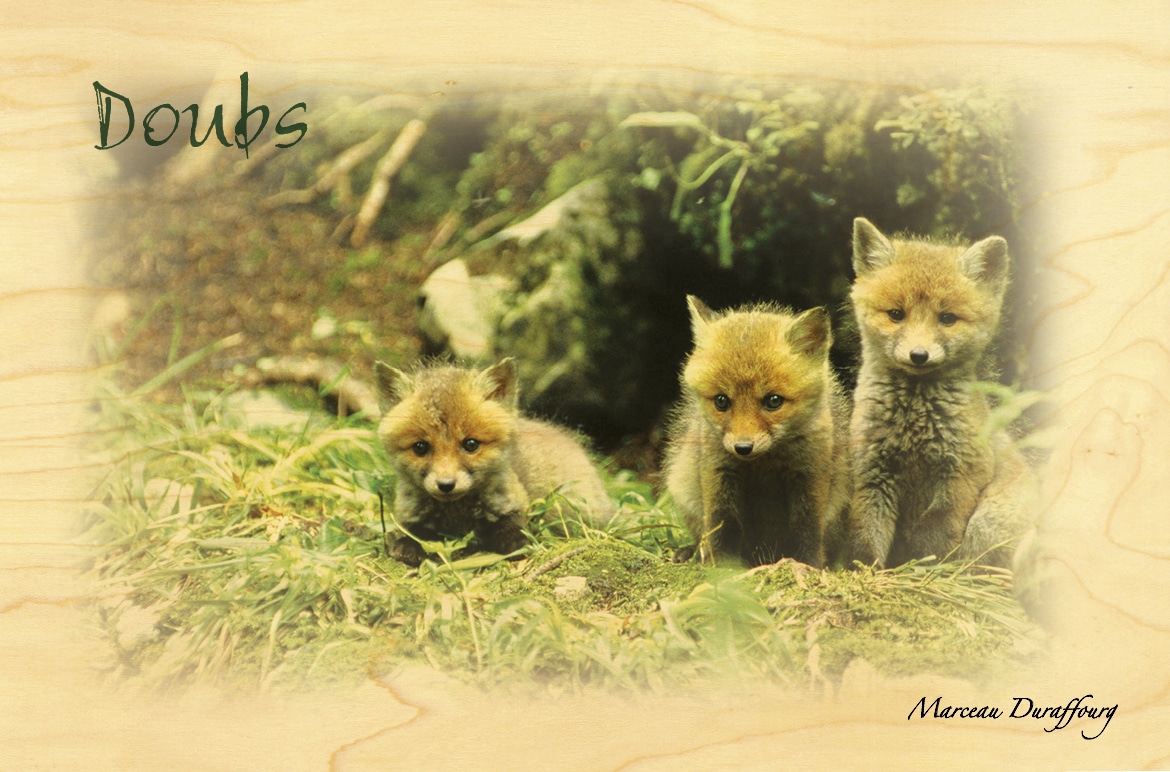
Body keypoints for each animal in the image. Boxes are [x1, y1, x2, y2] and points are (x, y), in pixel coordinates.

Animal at [375, 358, 612, 566]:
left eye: (471, 444)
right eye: (420, 447)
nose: (446, 485)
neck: (457, 516)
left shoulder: (514, 506)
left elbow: (510, 529)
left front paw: (518, 542)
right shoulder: (410, 516)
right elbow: (408, 533)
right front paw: (406, 547)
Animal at [662, 296, 851, 567]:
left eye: (773, 401)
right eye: (721, 401)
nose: (743, 448)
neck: (764, 464)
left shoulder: (810, 475)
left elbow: (807, 530)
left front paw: (808, 565)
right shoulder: (719, 473)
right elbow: (722, 526)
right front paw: (722, 569)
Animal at [847, 217, 1037, 569]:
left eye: (947, 318)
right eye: (896, 314)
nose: (918, 355)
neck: (913, 427)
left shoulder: (963, 473)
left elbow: (934, 532)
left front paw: (927, 568)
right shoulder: (871, 473)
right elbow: (866, 538)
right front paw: (867, 572)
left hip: (986, 523)